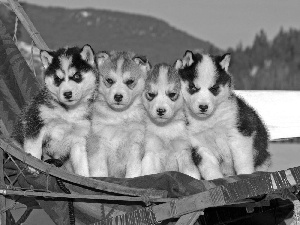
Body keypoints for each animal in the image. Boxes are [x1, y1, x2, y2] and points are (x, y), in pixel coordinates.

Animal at [12, 44, 97, 178]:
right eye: (57, 79)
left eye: (77, 76)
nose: (67, 94)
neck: (68, 112)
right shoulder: (36, 120)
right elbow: (34, 147)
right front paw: (33, 166)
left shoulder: (79, 137)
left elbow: (81, 162)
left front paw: (84, 177)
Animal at [88, 50, 150, 178]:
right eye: (109, 80)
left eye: (130, 81)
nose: (118, 96)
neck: (120, 116)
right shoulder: (97, 140)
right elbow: (99, 168)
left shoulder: (136, 143)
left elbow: (134, 168)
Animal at [177, 50, 270, 180]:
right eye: (193, 87)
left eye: (214, 88)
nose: (203, 107)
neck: (210, 121)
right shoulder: (199, 145)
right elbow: (209, 168)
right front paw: (215, 179)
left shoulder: (239, 133)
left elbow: (242, 160)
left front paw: (245, 175)